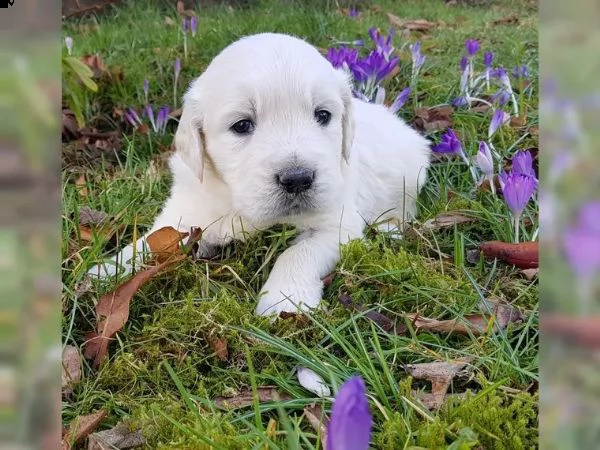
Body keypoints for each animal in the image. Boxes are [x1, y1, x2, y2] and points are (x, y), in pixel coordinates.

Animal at [88, 32, 432, 316]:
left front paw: (286, 299)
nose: (298, 179)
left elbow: (297, 252)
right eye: (242, 125)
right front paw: (104, 272)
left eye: (323, 115)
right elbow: (147, 242)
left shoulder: (337, 222)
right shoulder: (186, 212)